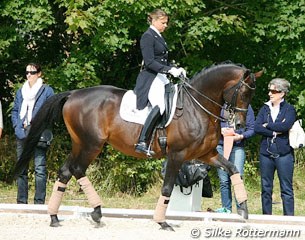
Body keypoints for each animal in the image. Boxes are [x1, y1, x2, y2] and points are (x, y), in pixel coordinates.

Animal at [14, 62, 262, 231]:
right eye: (244, 92)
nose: (239, 125)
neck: (197, 107)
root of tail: (74, 94)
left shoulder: (207, 154)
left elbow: (233, 169)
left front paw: (244, 209)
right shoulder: (177, 155)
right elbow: (167, 188)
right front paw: (162, 222)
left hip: (80, 143)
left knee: (66, 171)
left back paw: (55, 217)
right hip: (91, 144)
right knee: (77, 169)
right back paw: (96, 212)